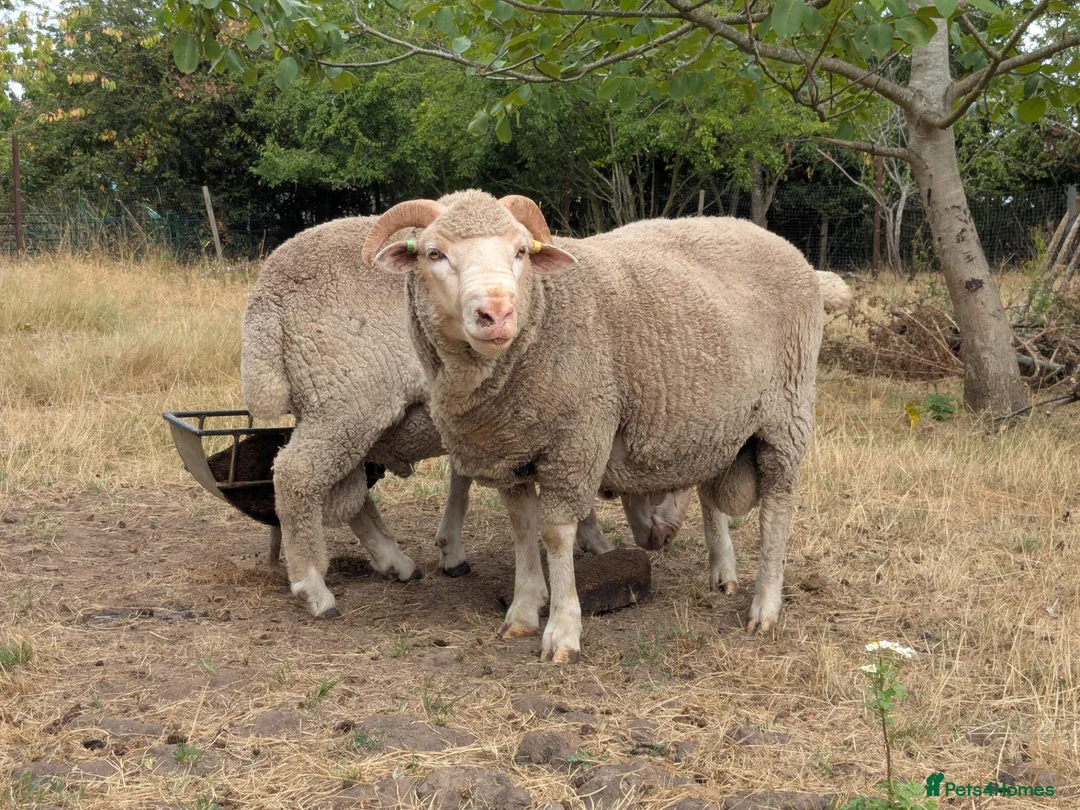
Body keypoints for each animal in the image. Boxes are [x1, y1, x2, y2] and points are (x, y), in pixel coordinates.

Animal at [240, 214, 689, 618]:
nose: (663, 538)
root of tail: (268, 292)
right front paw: (596, 542)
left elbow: (463, 480)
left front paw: (450, 548)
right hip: (346, 401)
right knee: (297, 476)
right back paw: (314, 588)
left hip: (340, 411)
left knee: (348, 495)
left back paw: (394, 562)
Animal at [361, 191, 837, 662]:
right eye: (434, 254)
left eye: (521, 252)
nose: (496, 314)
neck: (543, 315)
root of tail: (779, 242)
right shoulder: (510, 450)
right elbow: (522, 528)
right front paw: (523, 611)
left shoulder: (577, 438)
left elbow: (555, 534)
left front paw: (562, 632)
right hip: (714, 422)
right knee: (708, 491)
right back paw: (722, 571)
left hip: (786, 412)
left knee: (777, 507)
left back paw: (765, 606)